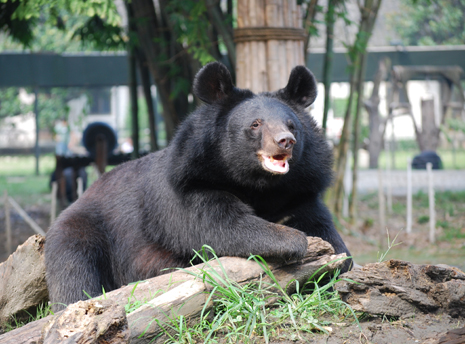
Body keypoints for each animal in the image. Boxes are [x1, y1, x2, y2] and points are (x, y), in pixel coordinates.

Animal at [45, 61, 350, 310]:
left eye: (292, 124)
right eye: (256, 124)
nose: (285, 141)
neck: (260, 185)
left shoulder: (300, 191)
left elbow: (327, 233)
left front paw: (336, 260)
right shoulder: (186, 187)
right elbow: (216, 223)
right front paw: (294, 240)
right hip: (84, 231)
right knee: (74, 271)